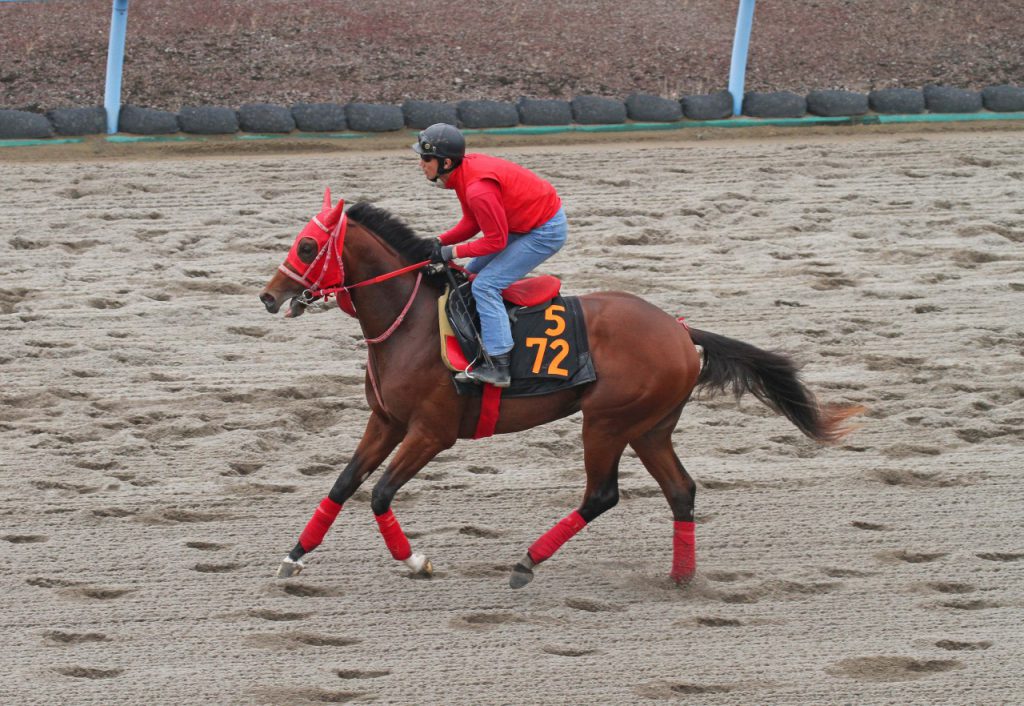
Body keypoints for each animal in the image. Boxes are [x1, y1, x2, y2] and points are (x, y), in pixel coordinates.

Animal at [258, 190, 863, 588]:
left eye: (307, 246)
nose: (268, 296)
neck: (411, 324)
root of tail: (679, 329)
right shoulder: (386, 421)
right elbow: (342, 484)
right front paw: (294, 556)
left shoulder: (431, 432)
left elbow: (380, 492)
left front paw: (416, 561)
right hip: (650, 428)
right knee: (681, 490)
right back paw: (681, 576)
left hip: (607, 422)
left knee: (602, 495)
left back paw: (527, 562)